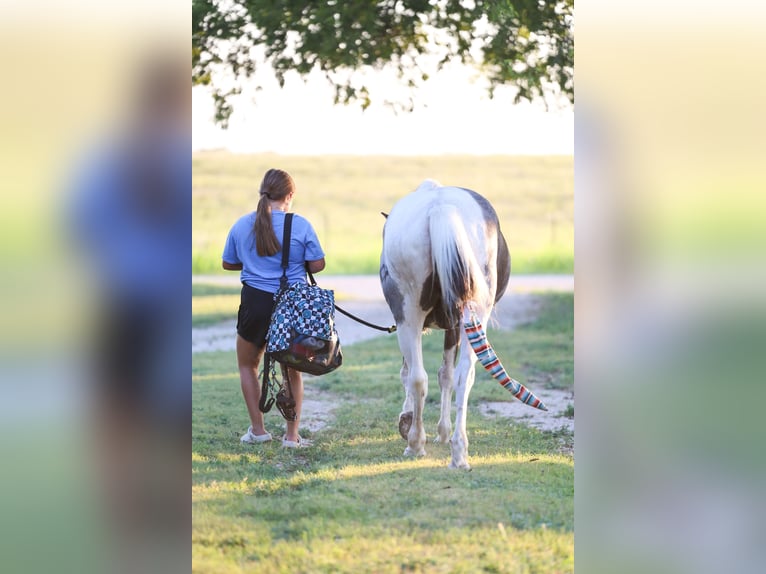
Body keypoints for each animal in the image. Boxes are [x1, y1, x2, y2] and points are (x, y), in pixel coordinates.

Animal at [380, 180, 546, 469]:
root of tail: (440, 206)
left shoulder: (444, 326)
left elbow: (428, 374)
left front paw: (411, 421)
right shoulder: (453, 324)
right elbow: (445, 375)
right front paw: (437, 431)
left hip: (409, 316)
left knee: (420, 376)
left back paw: (417, 444)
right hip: (470, 314)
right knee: (461, 375)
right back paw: (457, 452)